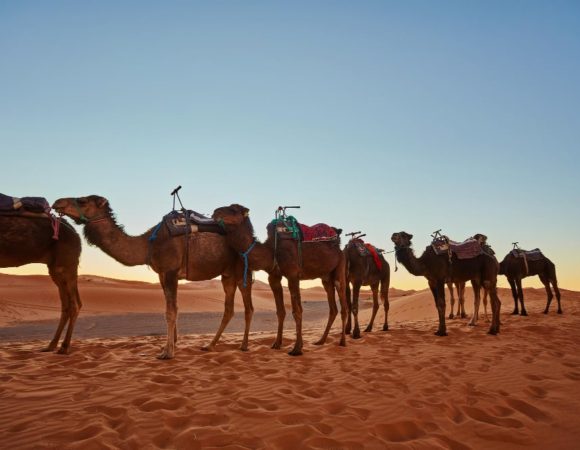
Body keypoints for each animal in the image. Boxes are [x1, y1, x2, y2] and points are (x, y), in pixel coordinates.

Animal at [0, 213, 81, 354]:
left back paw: (64, 347)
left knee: (74, 304)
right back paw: (51, 345)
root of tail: (76, 235)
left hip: (66, 263)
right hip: (56, 269)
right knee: (66, 305)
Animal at [53, 195, 253, 360]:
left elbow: (170, 311)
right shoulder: (162, 274)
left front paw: (168, 353)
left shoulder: (171, 271)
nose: (57, 202)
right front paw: (171, 346)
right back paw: (210, 346)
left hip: (243, 269)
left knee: (248, 307)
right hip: (227, 274)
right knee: (229, 309)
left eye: (82, 201)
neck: (147, 244)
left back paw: (243, 346)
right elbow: (172, 309)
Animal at [214, 203, 346, 356]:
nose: (215, 212)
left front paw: (297, 348)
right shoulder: (274, 277)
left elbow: (297, 311)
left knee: (343, 304)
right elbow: (280, 311)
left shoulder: (293, 275)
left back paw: (342, 342)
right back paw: (321, 341)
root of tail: (339, 244)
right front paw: (277, 343)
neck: (271, 250)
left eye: (233, 210)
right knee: (333, 308)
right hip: (326, 277)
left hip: (340, 268)